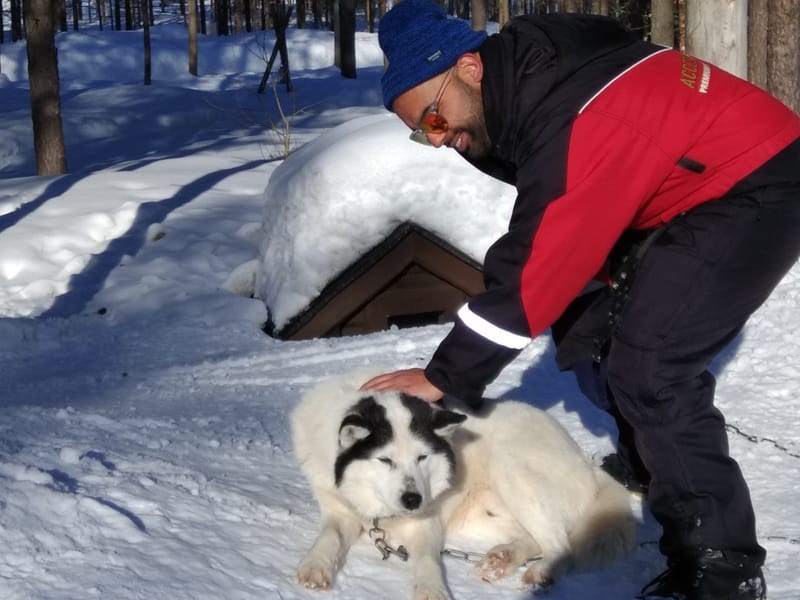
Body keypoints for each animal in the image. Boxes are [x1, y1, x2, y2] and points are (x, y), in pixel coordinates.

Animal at [290, 372, 636, 596]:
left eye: (423, 457)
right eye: (385, 460)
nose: (413, 500)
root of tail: (586, 464)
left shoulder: (426, 522)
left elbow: (427, 560)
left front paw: (431, 590)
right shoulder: (339, 510)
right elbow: (330, 536)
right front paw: (315, 565)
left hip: (512, 467)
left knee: (561, 545)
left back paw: (541, 572)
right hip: (486, 515)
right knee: (538, 537)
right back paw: (503, 559)